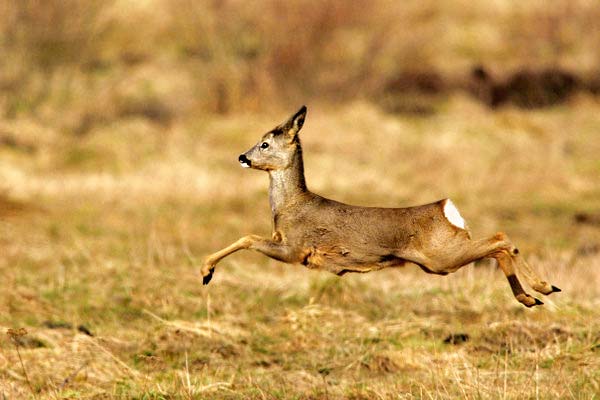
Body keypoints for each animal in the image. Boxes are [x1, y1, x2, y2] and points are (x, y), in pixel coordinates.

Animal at [202, 105, 564, 306]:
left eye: (265, 143)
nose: (242, 157)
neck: (289, 207)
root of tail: (446, 209)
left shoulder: (296, 249)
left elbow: (247, 237)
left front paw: (206, 272)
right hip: (441, 259)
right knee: (499, 246)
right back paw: (532, 296)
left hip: (441, 257)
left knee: (501, 239)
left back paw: (543, 287)